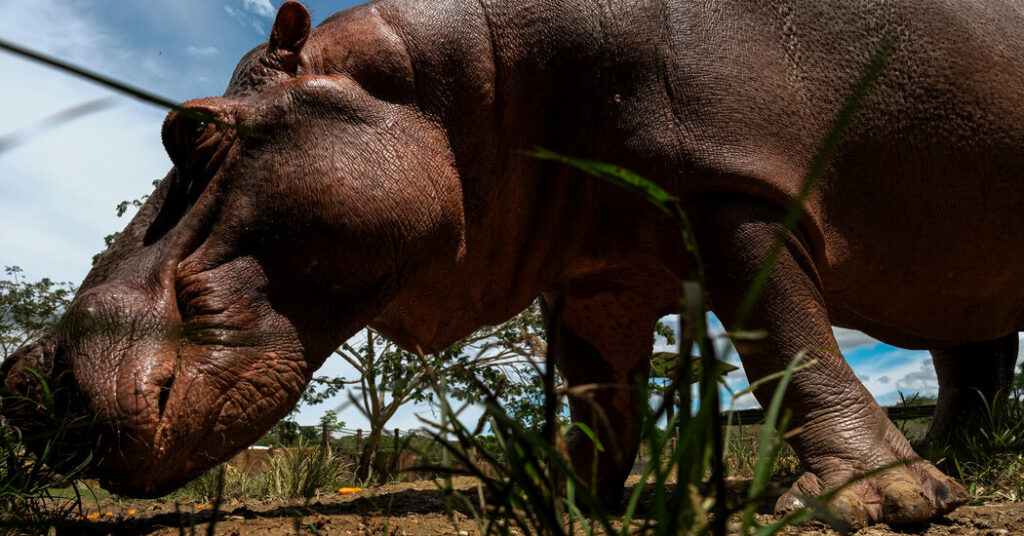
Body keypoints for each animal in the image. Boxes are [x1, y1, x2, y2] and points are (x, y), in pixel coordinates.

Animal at [3, 0, 1023, 528]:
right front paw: (565, 496)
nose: (27, 381)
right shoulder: (598, 265)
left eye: (187, 128)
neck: (449, 74)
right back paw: (959, 456)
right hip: (963, 265)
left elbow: (787, 333)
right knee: (975, 358)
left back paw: (943, 466)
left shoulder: (733, 186)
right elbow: (599, 390)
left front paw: (875, 501)